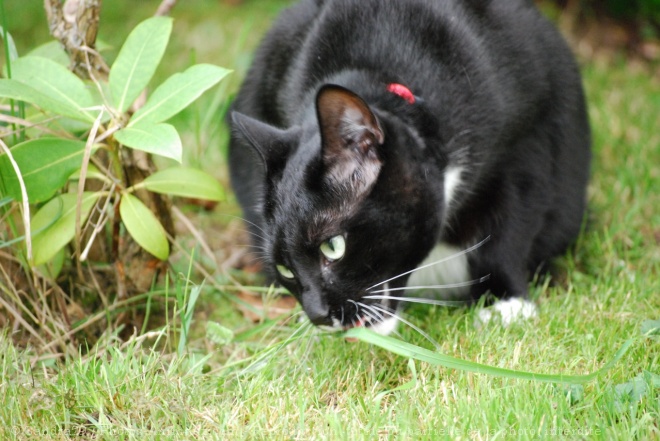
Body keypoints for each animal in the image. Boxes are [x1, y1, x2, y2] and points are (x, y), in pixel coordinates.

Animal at [228, 0, 592, 332]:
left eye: (333, 247)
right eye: (285, 268)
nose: (317, 315)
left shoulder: (529, 135)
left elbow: (509, 229)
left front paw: (506, 305)